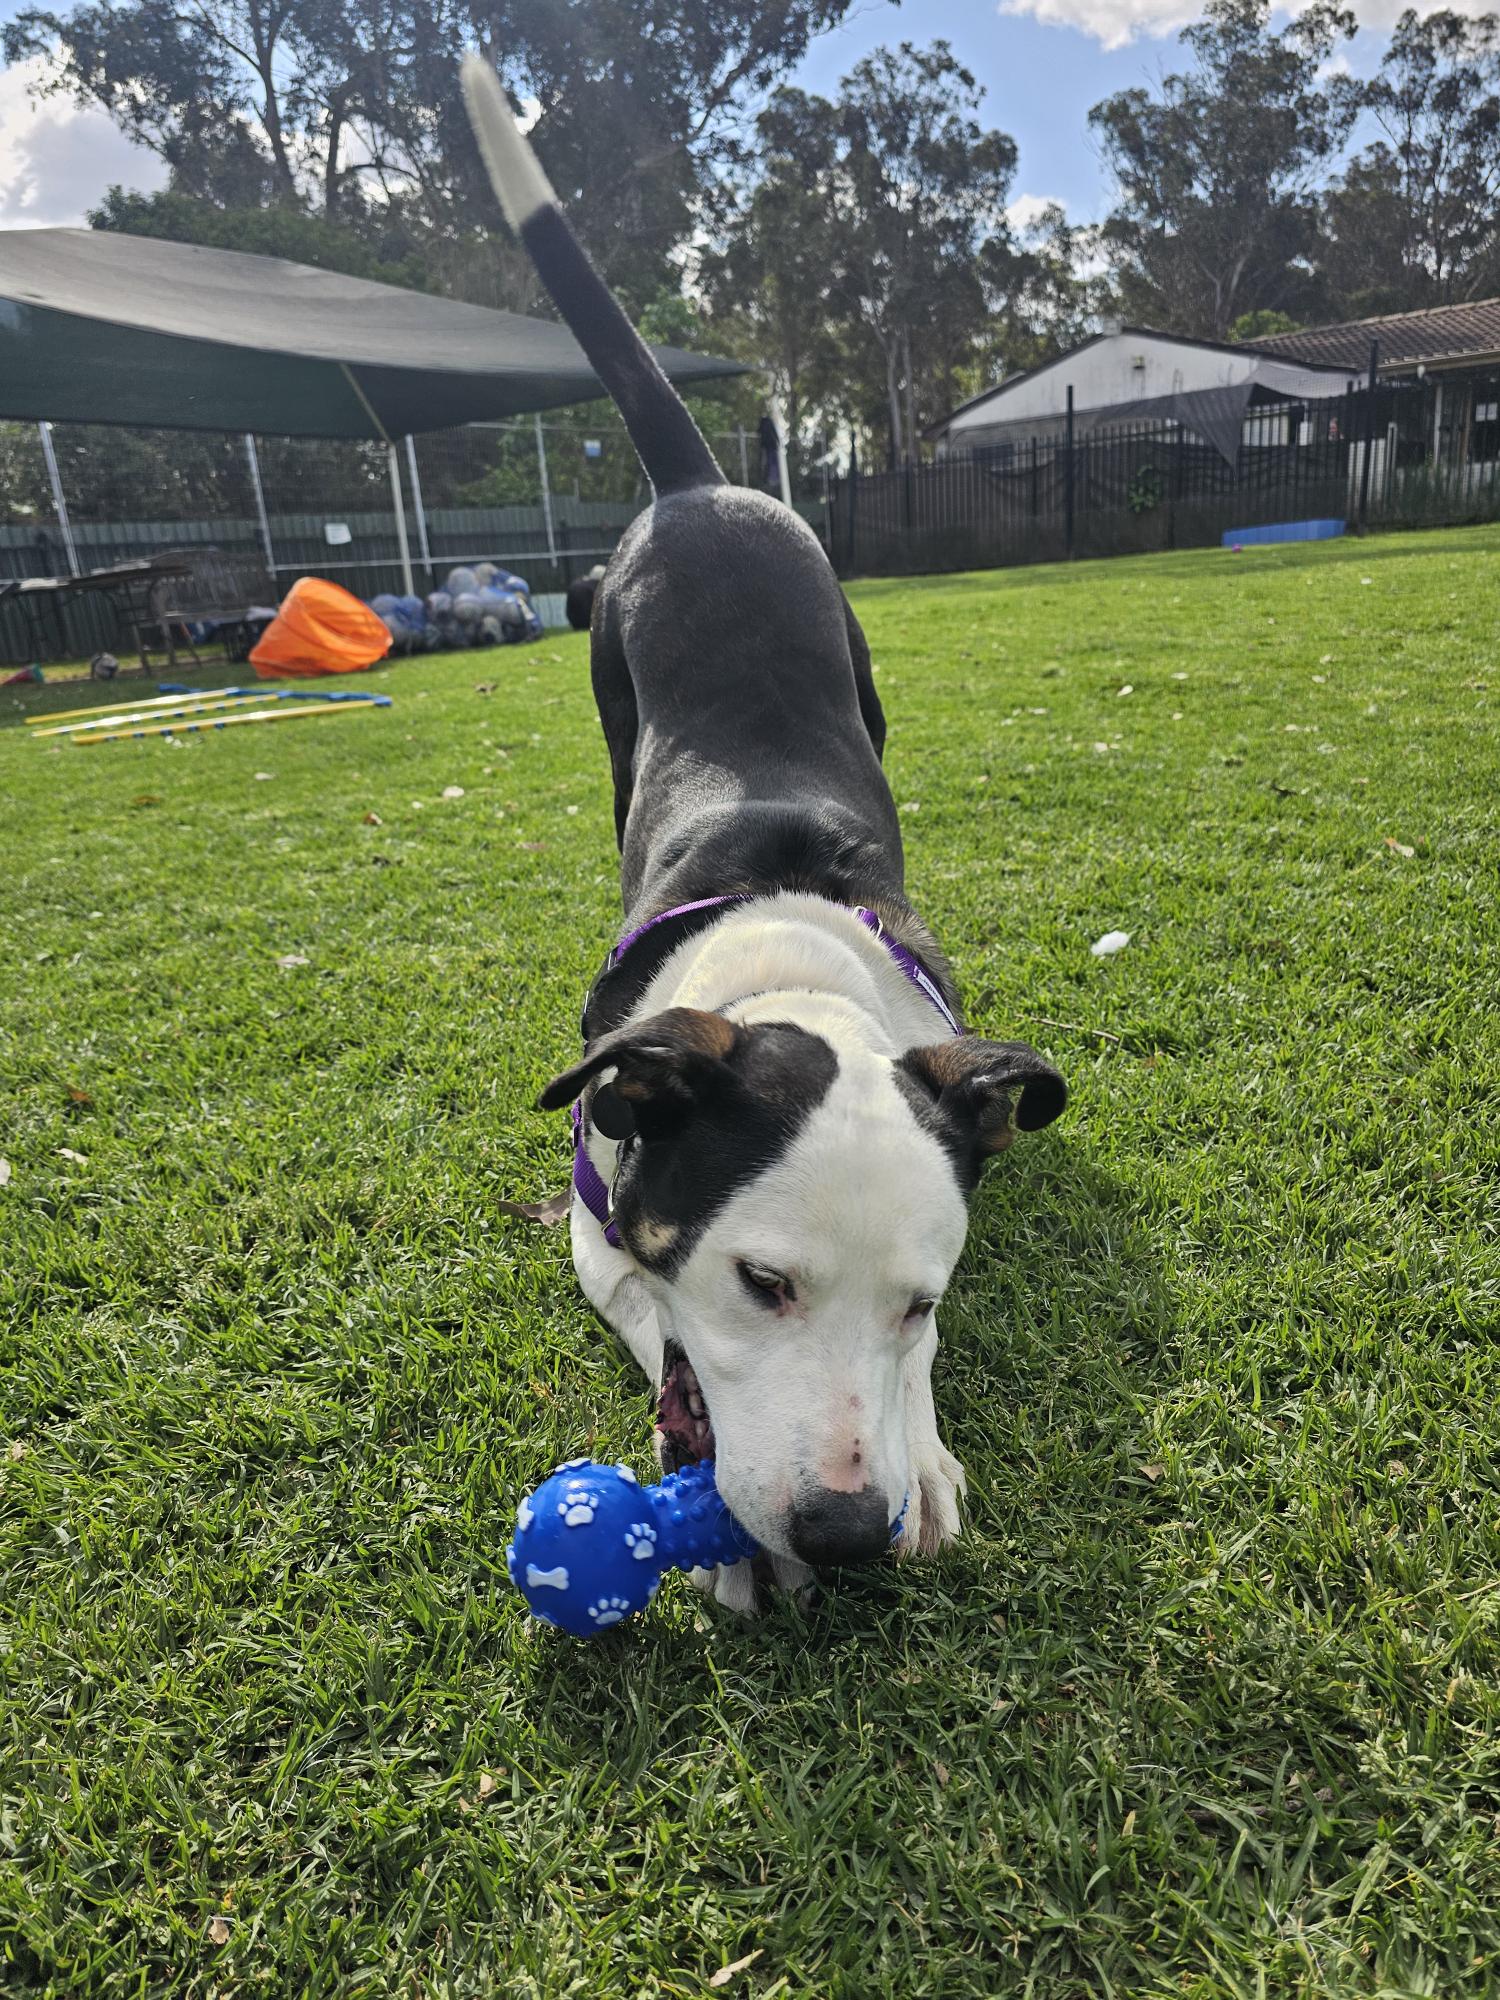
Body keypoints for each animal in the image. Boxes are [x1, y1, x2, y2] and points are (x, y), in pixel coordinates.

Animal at [463, 60, 1067, 1613]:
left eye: (921, 1303)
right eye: (762, 1283)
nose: (846, 1531)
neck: (784, 960)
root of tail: (701, 487)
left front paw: (926, 1459)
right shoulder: (597, 1229)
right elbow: (647, 1309)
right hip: (612, 696)